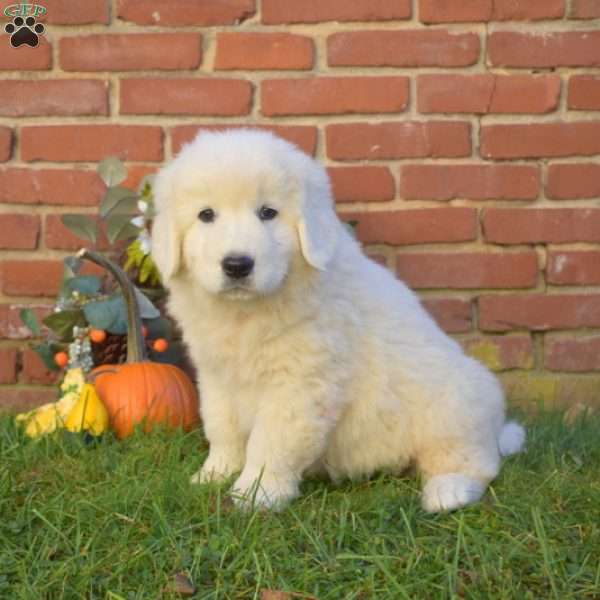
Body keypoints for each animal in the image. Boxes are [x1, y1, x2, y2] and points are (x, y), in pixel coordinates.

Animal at [151, 130, 524, 510]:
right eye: (206, 215)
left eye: (268, 213)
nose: (237, 265)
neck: (246, 312)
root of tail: (496, 431)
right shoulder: (217, 377)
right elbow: (221, 428)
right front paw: (212, 475)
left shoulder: (298, 385)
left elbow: (270, 443)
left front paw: (256, 494)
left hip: (455, 405)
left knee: (474, 463)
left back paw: (447, 491)